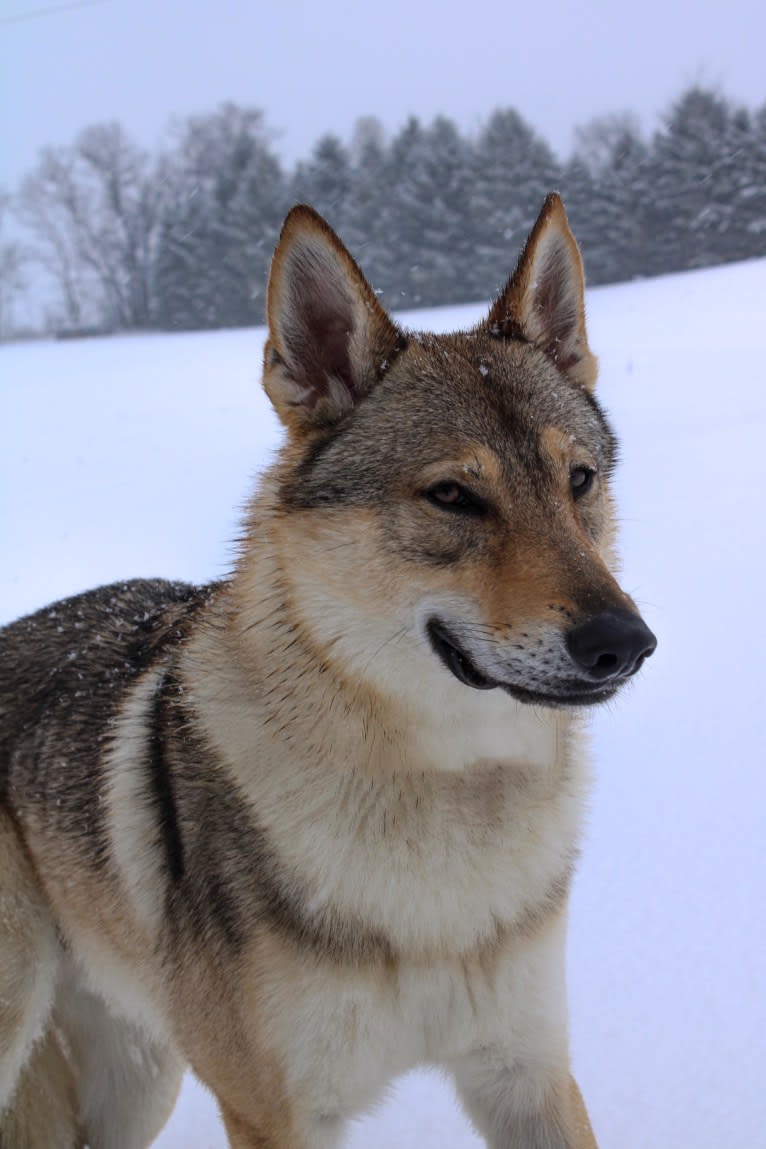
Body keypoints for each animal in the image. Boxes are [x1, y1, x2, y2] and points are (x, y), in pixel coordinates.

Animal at [0, 193, 656, 1144]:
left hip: (141, 1076)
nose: (626, 642)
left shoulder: (527, 1070)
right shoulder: (276, 1112)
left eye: (579, 480)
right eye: (454, 496)